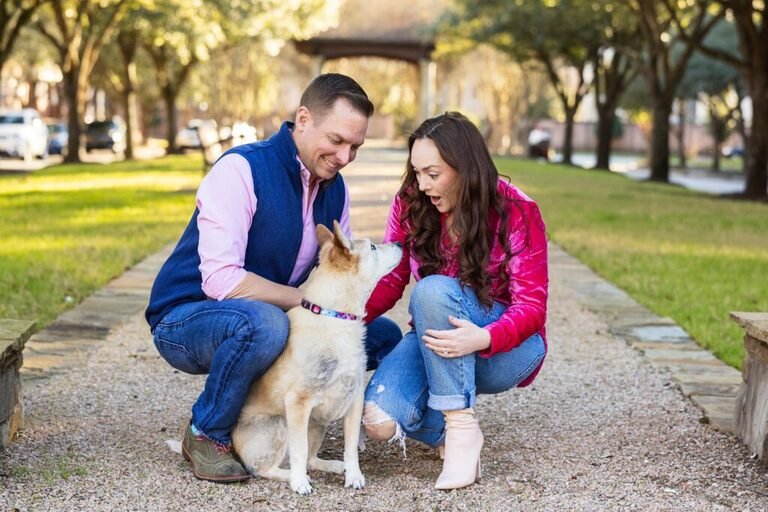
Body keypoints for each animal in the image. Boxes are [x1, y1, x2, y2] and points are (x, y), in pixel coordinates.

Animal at [231, 220, 402, 492]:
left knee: (311, 459)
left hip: (317, 423)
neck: (335, 318)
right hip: (279, 424)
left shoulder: (354, 398)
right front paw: (299, 482)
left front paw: (353, 475)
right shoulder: (297, 402)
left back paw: (333, 466)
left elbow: (350, 447)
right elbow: (299, 451)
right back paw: (291, 475)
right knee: (265, 468)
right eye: (373, 247)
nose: (399, 243)